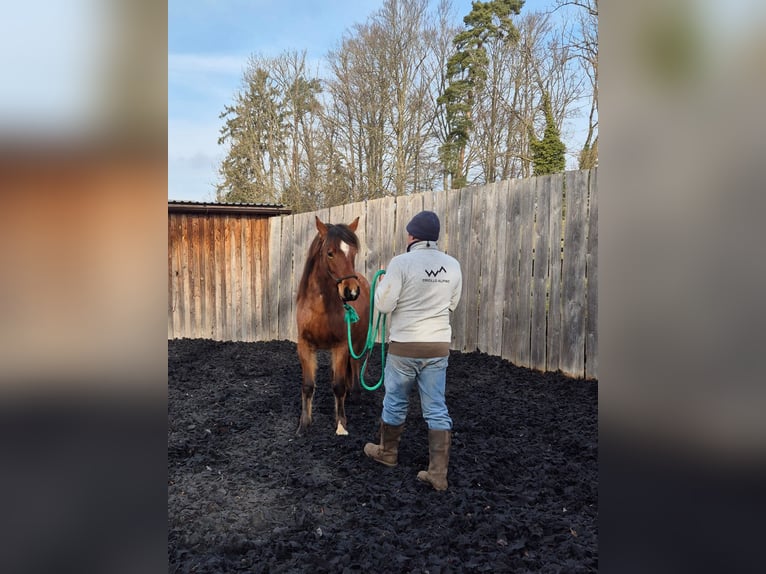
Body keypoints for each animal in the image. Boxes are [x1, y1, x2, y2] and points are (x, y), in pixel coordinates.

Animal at [296, 216, 372, 436]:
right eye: (330, 252)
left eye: (353, 252)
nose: (351, 292)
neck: (320, 309)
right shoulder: (305, 346)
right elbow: (308, 385)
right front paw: (304, 424)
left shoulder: (341, 346)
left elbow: (338, 386)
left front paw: (341, 424)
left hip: (357, 342)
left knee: (355, 365)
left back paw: (355, 392)